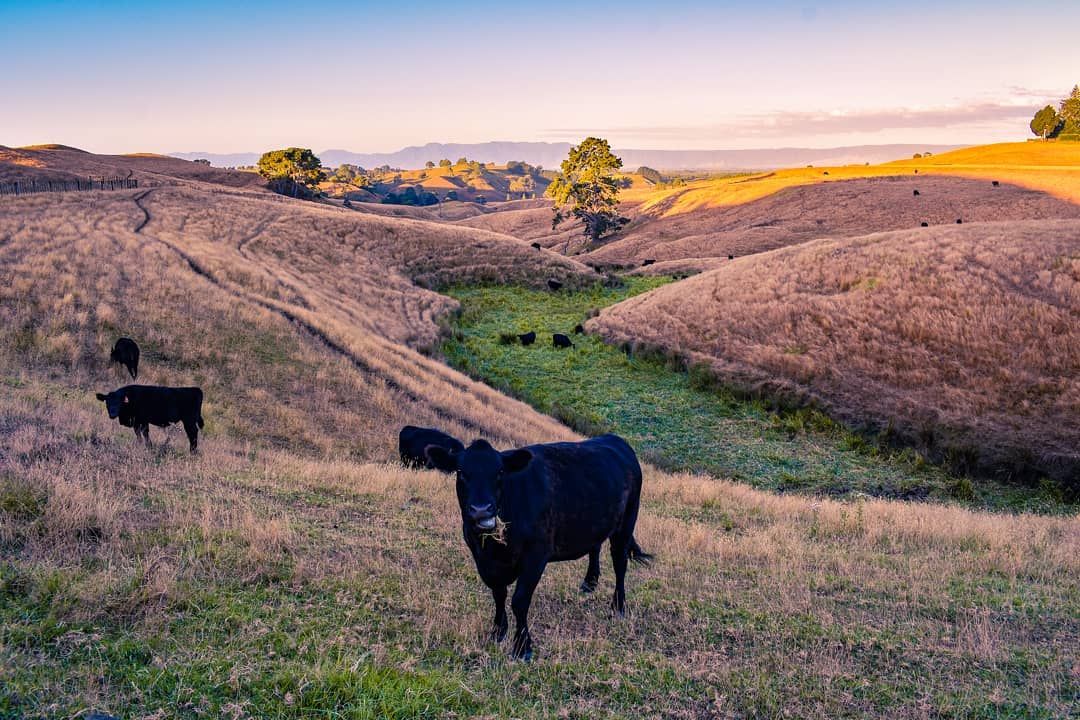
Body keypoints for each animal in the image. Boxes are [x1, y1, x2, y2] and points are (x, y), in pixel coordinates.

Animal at [425, 433, 652, 664]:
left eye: (499, 472)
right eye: (461, 472)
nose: (481, 510)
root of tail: (615, 440)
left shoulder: (536, 555)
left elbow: (519, 600)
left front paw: (522, 647)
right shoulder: (482, 559)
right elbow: (498, 593)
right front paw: (498, 632)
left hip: (626, 523)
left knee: (620, 564)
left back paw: (618, 607)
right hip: (596, 522)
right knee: (595, 547)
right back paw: (589, 582)